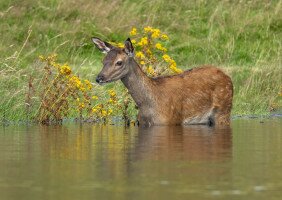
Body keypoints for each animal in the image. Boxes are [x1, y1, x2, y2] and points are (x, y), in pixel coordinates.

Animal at [91, 37, 232, 126]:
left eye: (119, 62)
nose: (99, 78)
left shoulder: (170, 121)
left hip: (224, 111)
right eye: (103, 61)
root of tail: (227, 76)